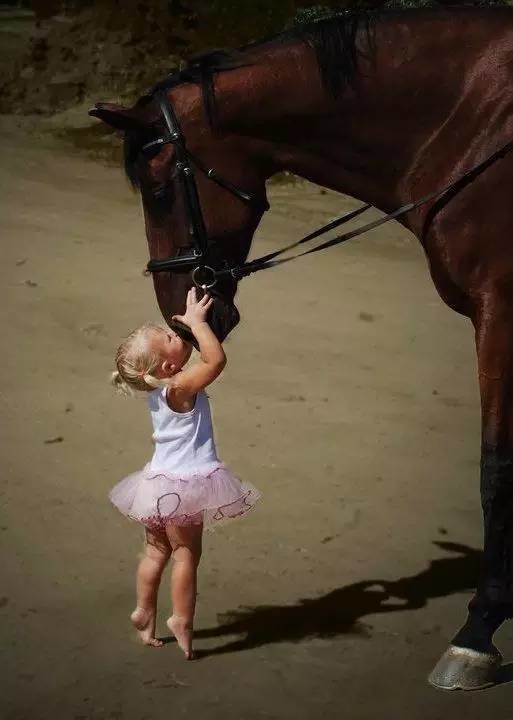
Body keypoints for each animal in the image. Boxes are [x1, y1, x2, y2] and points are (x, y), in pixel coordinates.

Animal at [89, 6, 513, 690]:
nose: (179, 318)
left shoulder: (499, 309)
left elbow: (495, 467)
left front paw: (477, 634)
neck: (473, 121)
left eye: (157, 188)